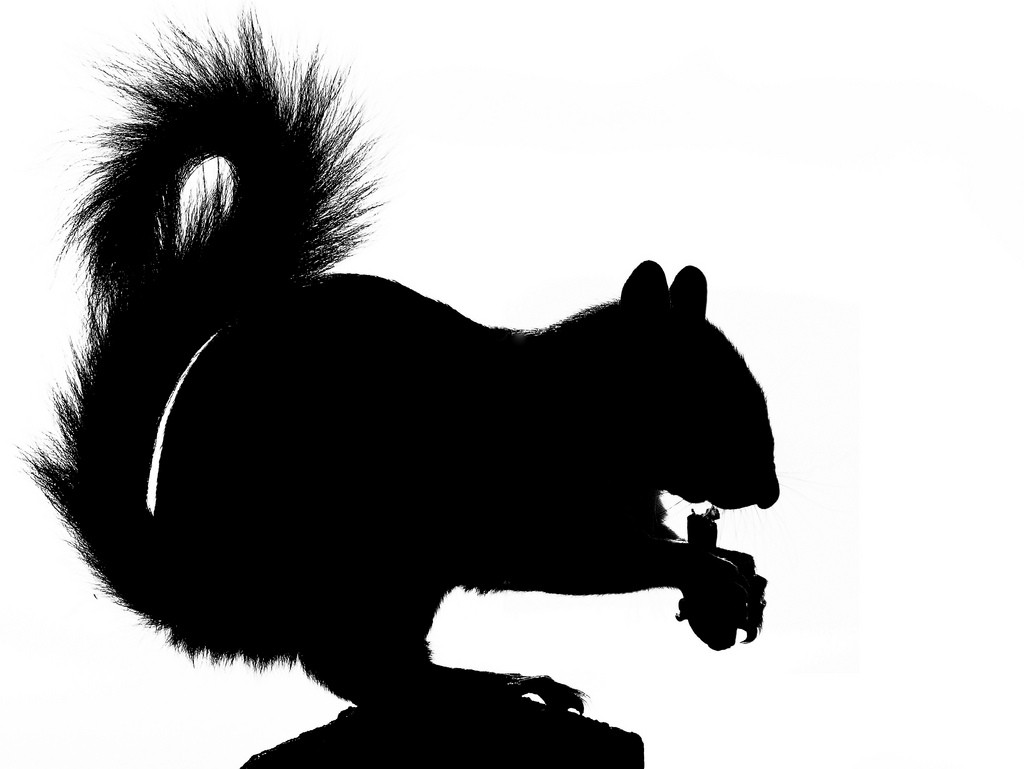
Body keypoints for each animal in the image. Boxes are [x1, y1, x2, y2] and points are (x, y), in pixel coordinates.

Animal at [29, 19, 778, 713]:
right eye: (700, 395)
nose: (770, 492)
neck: (582, 402)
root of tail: (201, 592)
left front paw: (739, 568)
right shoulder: (533, 500)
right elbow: (591, 554)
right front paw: (703, 569)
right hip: (373, 551)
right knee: (363, 669)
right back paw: (500, 685)